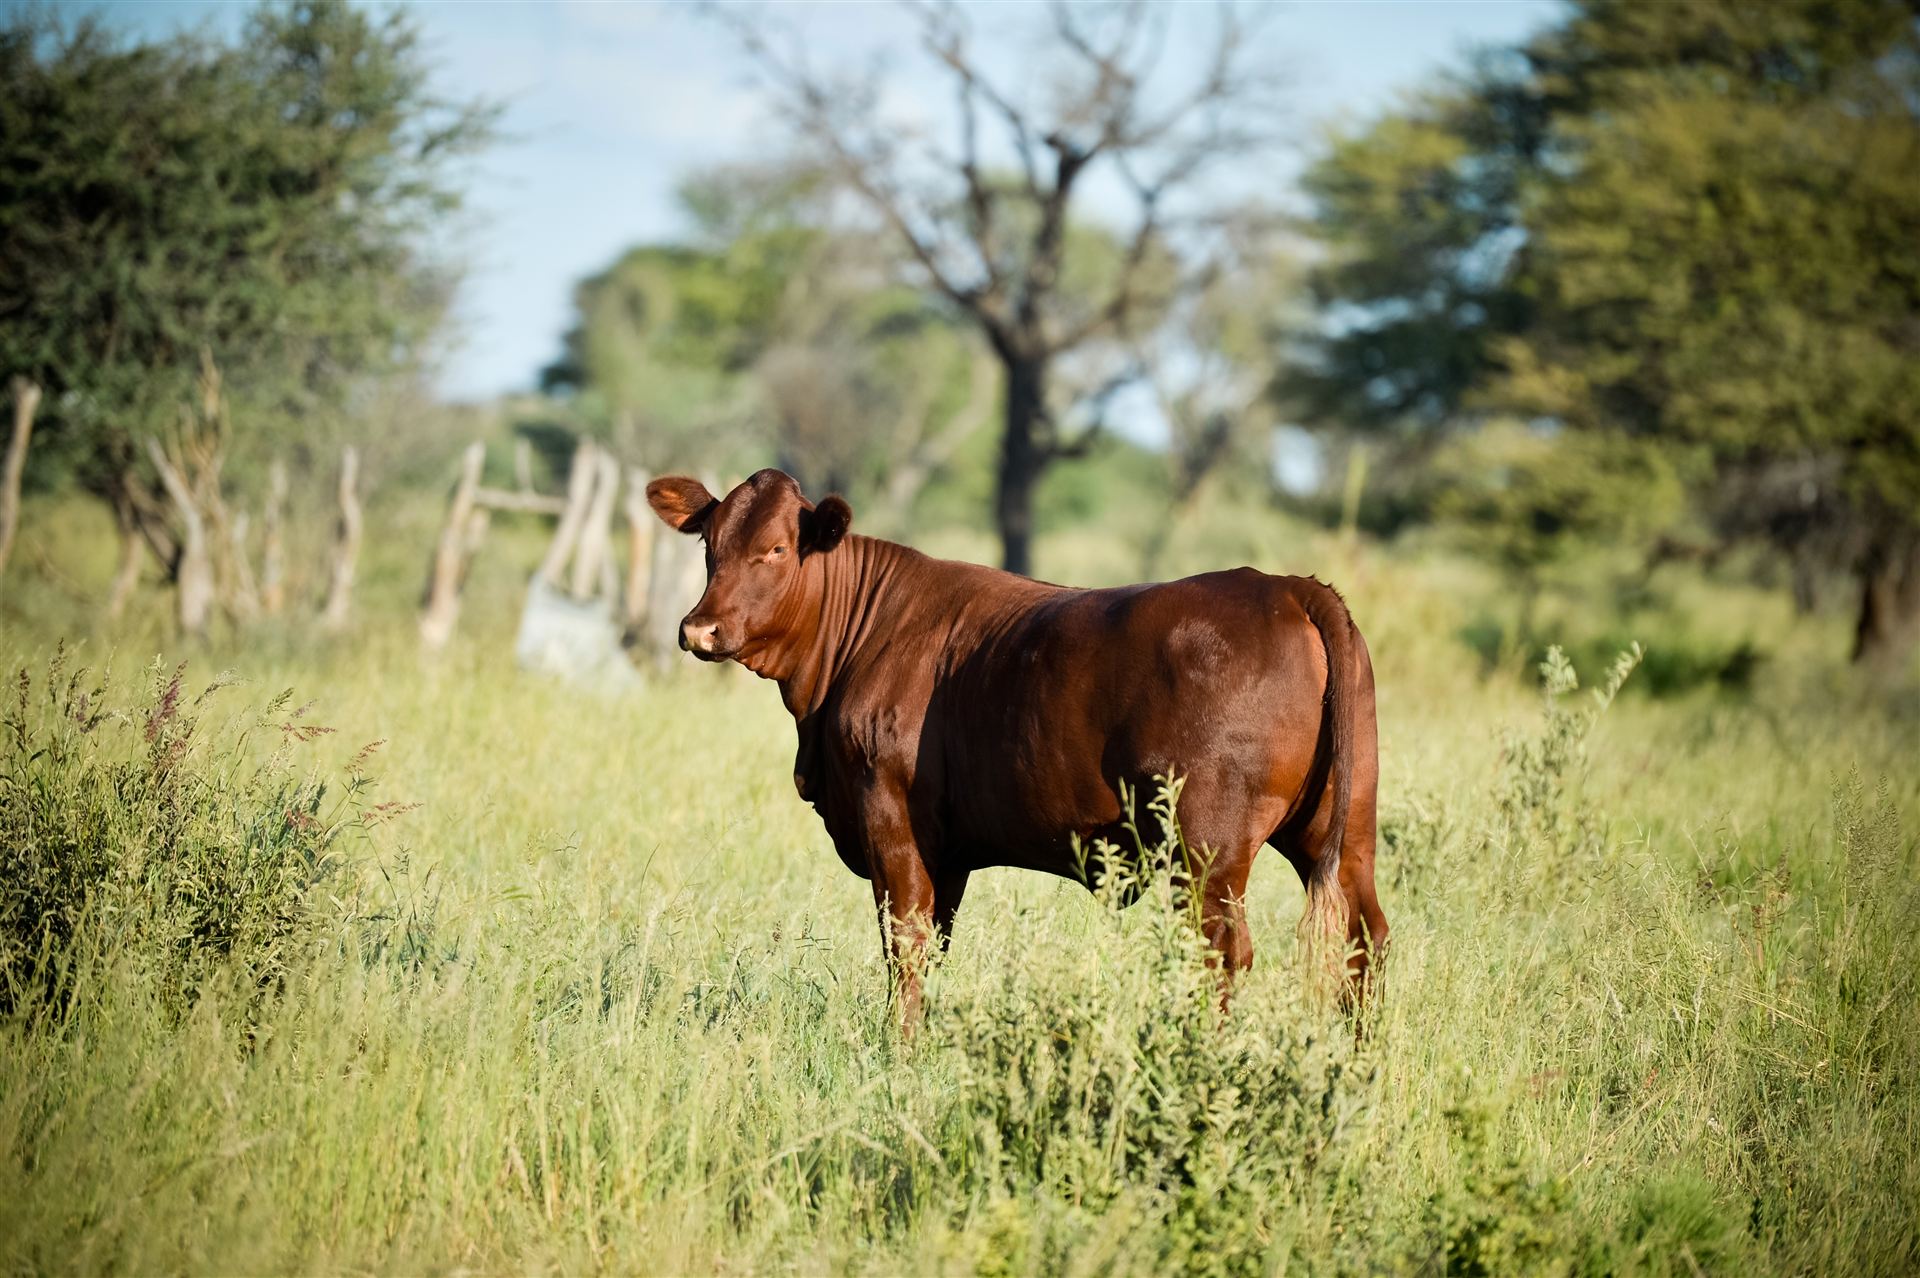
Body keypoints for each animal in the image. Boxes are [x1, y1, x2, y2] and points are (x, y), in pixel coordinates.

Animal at [645, 468, 1387, 1029]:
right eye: (709, 543)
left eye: (775, 550)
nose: (700, 628)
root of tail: (1286, 586)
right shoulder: (947, 852)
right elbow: (934, 944)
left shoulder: (890, 818)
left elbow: (905, 945)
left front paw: (898, 1049)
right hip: (1343, 829)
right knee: (1363, 940)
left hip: (1207, 846)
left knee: (1223, 952)